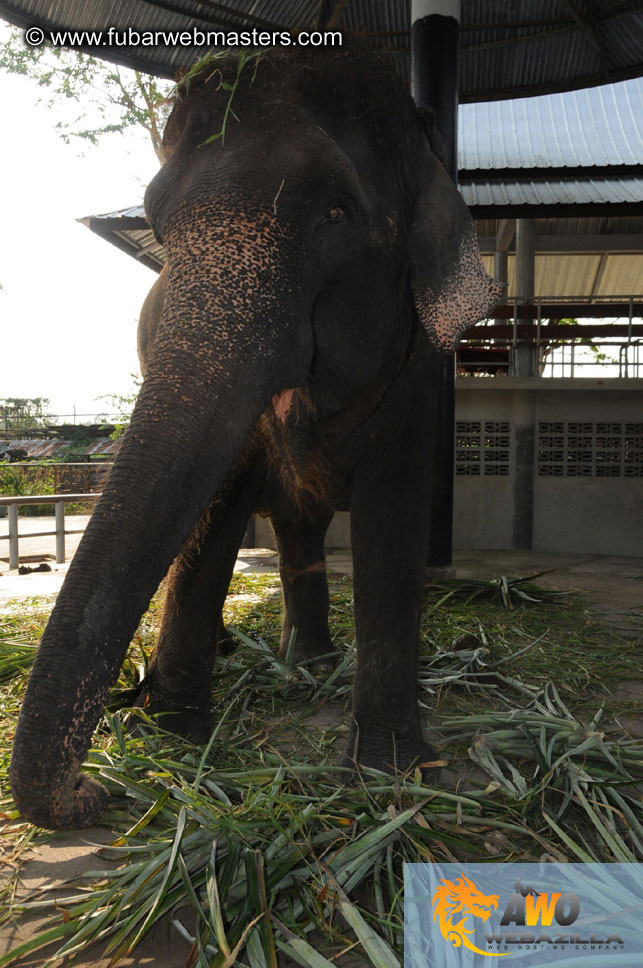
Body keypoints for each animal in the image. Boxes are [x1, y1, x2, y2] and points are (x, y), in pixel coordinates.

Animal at [11, 45, 504, 828]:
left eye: (336, 212)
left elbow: (394, 520)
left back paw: (310, 667)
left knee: (302, 533)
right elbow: (215, 506)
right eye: (159, 227)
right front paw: (172, 735)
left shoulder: (418, 372)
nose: (94, 791)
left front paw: (392, 771)